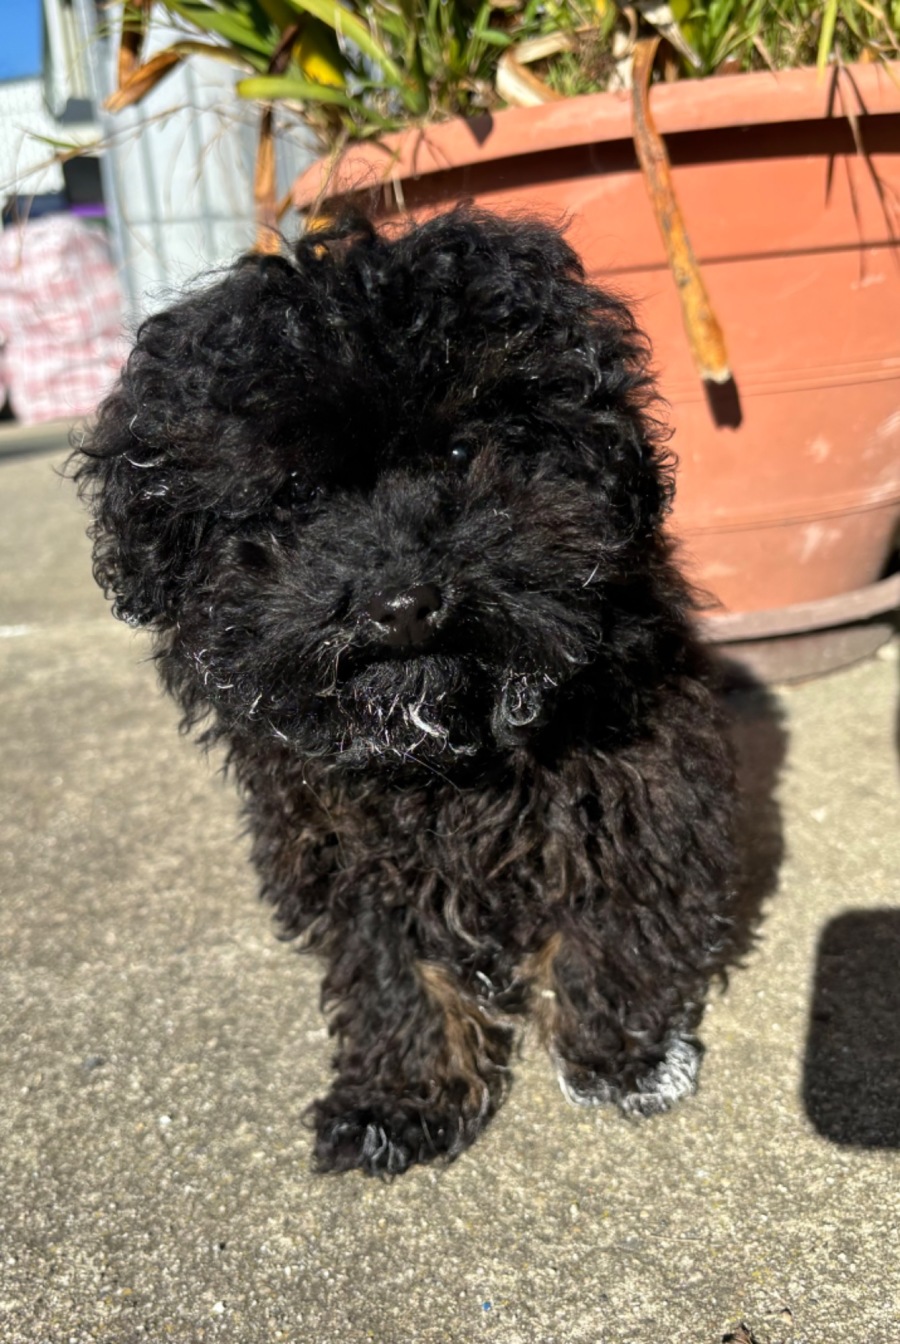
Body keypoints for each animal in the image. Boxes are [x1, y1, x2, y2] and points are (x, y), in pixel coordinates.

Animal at [72, 206, 737, 1177]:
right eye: (296, 493)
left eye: (460, 450)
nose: (403, 601)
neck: (442, 754)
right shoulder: (346, 850)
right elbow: (392, 969)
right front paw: (400, 1096)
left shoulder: (631, 786)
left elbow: (614, 913)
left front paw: (626, 1054)